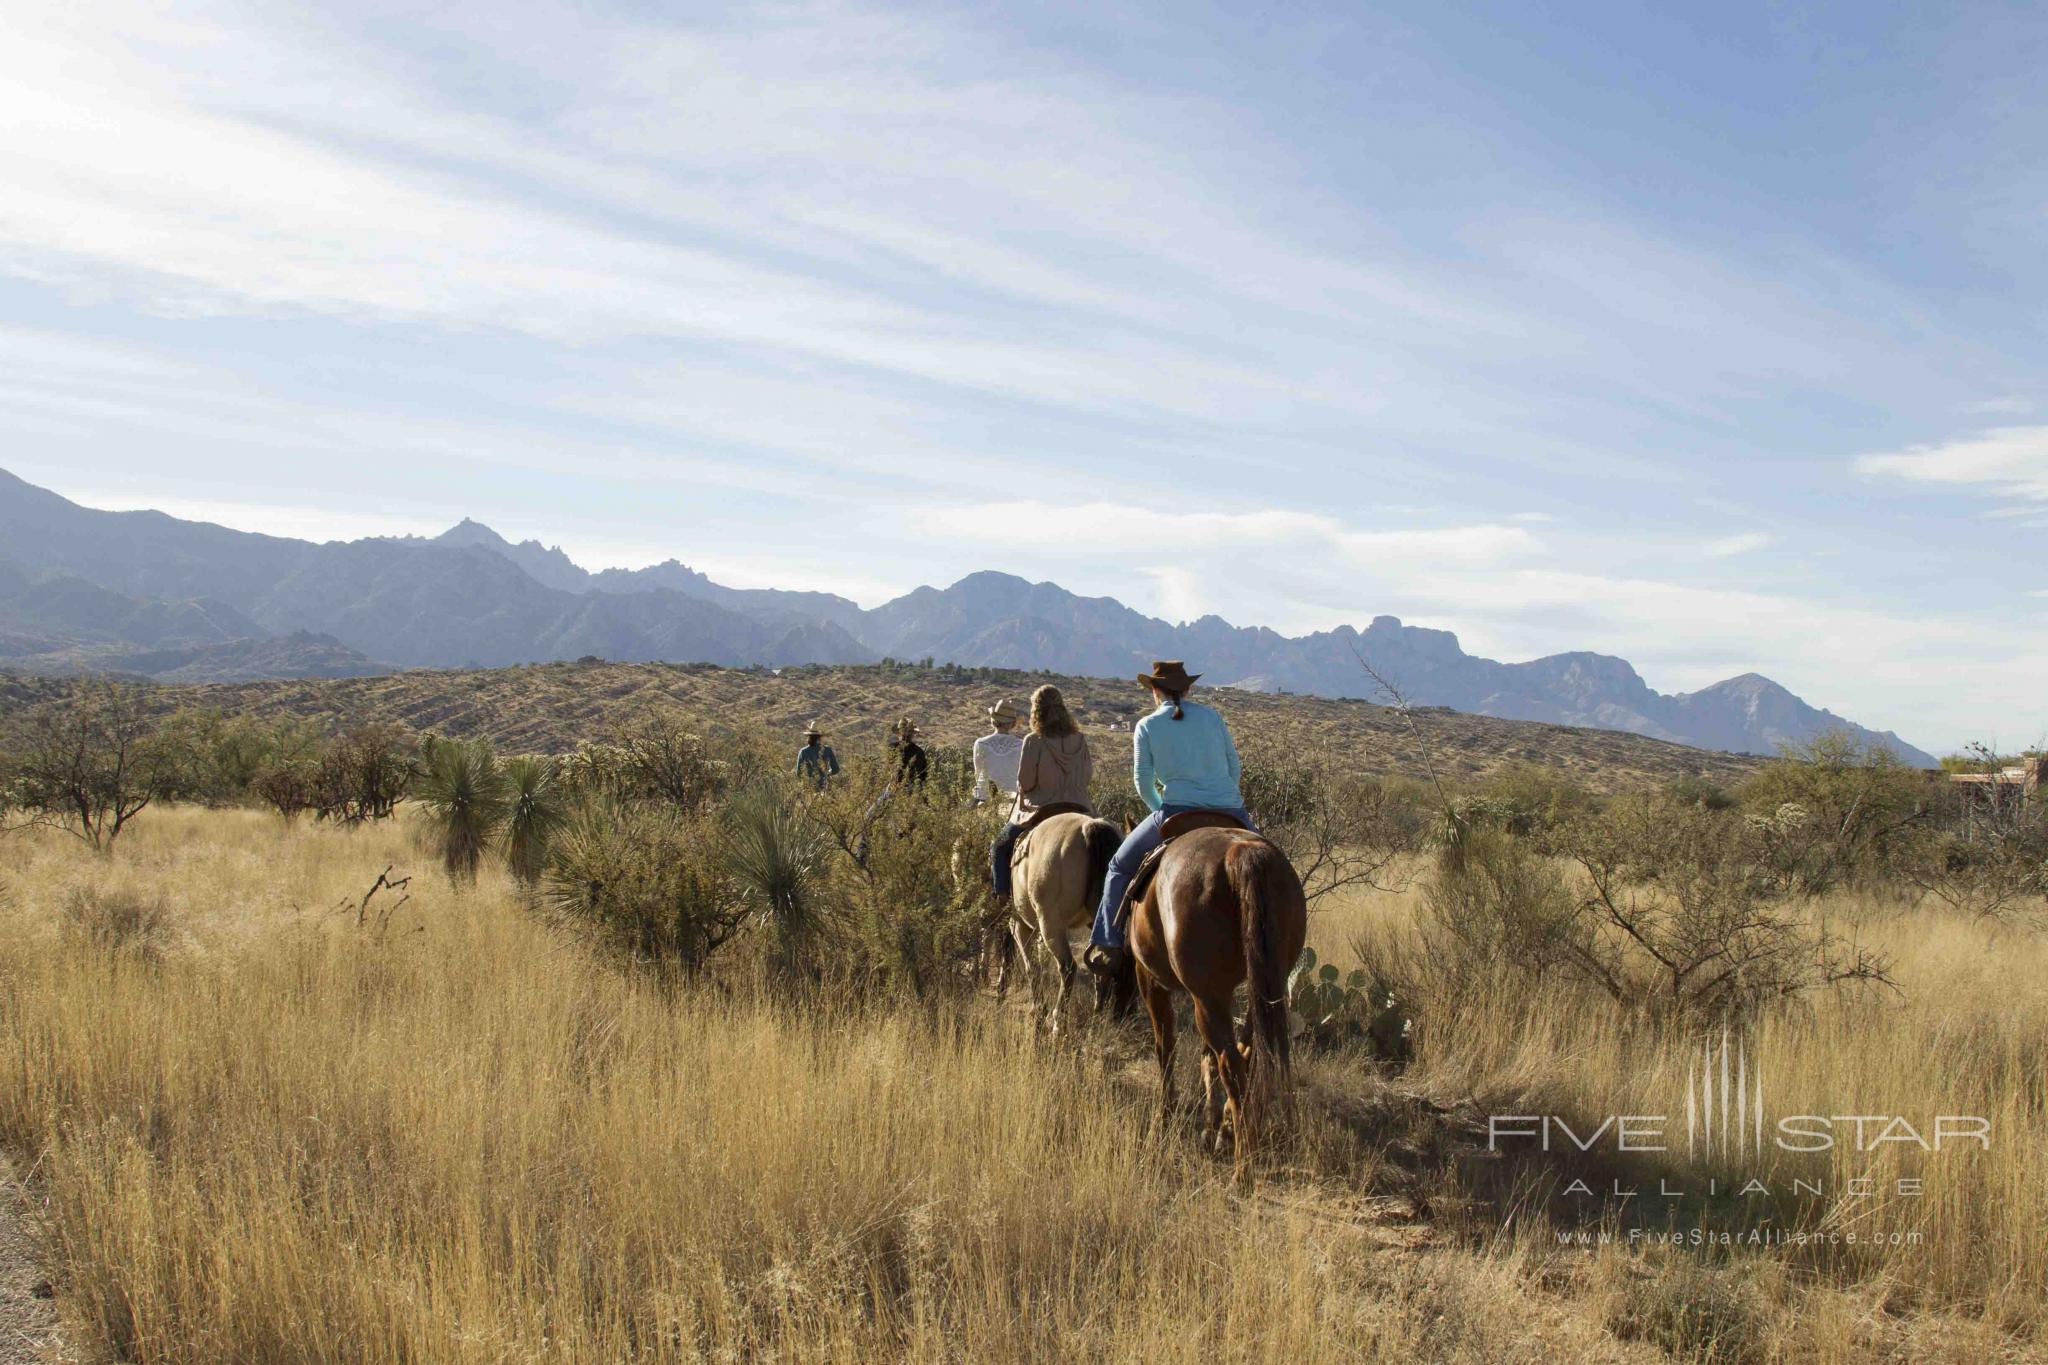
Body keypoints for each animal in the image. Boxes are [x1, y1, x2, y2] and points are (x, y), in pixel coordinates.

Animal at [1114, 810, 1302, 1186]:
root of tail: (1240, 853)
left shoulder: (1151, 980)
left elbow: (1165, 1045)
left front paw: (1166, 1117)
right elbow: (1206, 1056)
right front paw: (1212, 1125)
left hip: (1206, 996)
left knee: (1232, 1061)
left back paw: (1242, 1168)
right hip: (1261, 986)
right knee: (1249, 1054)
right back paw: (1233, 1131)